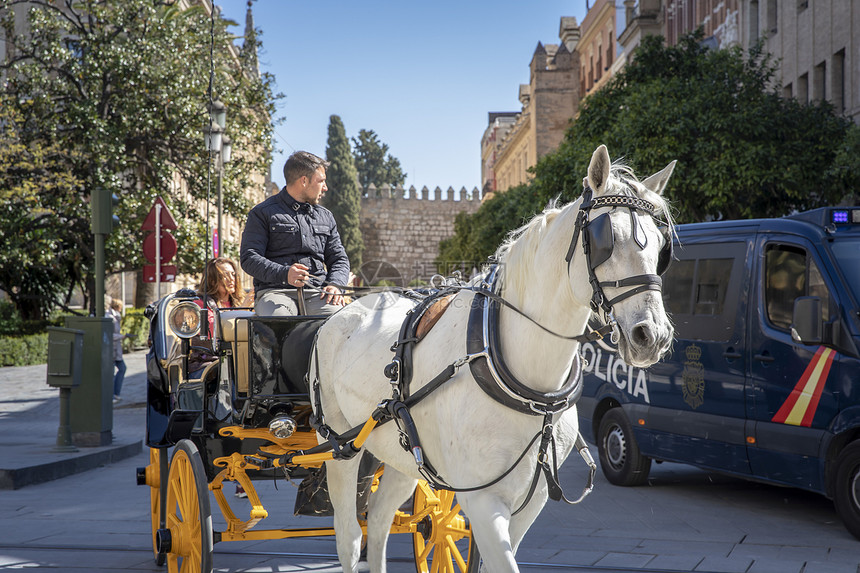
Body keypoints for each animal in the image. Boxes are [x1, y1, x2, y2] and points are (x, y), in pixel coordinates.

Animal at [312, 145, 676, 568]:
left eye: (660, 246)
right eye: (607, 240)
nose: (652, 335)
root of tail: (343, 309)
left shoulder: (530, 502)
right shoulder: (483, 501)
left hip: (405, 455)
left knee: (381, 514)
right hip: (339, 445)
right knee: (349, 535)